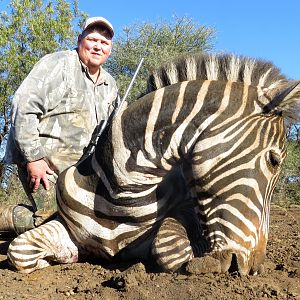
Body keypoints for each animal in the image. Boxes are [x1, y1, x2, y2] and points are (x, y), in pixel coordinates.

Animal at [7, 52, 300, 274]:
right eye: (274, 161)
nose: (255, 269)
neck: (121, 193)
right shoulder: (64, 226)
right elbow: (18, 251)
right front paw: (60, 257)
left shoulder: (188, 214)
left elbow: (169, 246)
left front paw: (197, 258)